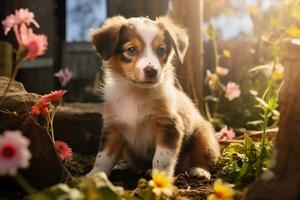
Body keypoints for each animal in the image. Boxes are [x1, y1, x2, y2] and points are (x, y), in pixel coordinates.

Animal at [87, 15, 220, 178]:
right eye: (131, 50)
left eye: (161, 50)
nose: (152, 71)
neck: (136, 93)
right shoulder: (113, 128)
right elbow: (103, 157)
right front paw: (95, 176)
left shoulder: (168, 126)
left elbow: (161, 159)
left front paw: (160, 180)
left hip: (204, 136)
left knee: (203, 158)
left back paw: (200, 170)